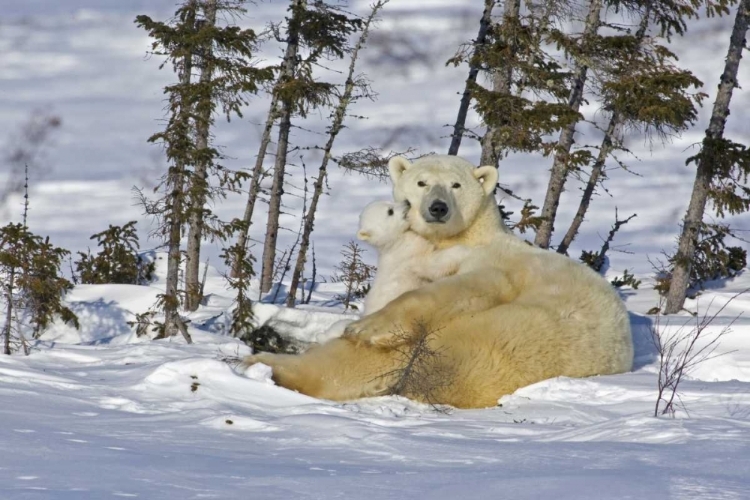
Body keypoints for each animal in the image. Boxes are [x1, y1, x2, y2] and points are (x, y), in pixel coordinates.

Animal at [247, 154, 636, 408]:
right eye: (421, 182)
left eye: (455, 185)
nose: (437, 207)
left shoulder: (494, 263)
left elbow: (457, 288)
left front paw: (366, 327)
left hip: (498, 337)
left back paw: (261, 362)